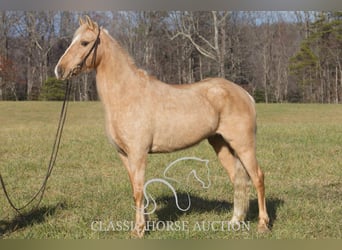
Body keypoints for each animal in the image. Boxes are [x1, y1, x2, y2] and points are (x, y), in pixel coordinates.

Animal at [54, 16, 270, 237]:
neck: (127, 95)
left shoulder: (138, 154)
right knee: (237, 179)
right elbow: (136, 189)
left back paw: (262, 224)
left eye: (84, 43)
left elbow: (138, 191)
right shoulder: (124, 155)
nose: (59, 70)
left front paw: (139, 230)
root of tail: (245, 95)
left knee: (258, 178)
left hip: (244, 145)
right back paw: (235, 221)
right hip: (221, 144)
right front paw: (144, 224)